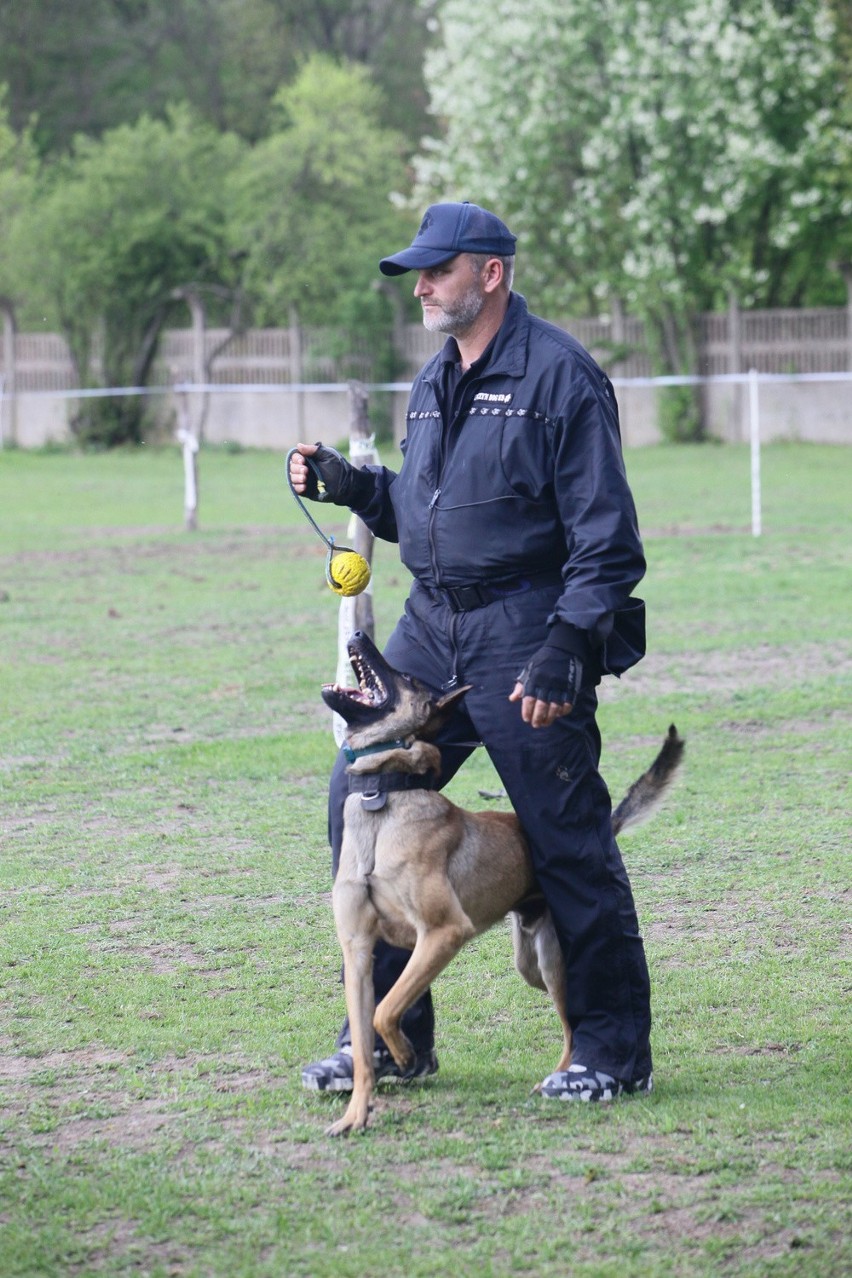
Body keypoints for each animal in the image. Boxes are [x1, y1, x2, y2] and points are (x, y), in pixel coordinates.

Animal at [316, 628, 684, 1139]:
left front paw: (405, 1054)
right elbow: (368, 1028)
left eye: (406, 677)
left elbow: (386, 1009)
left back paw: (571, 1078)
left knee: (573, 1025)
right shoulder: (358, 951)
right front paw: (357, 1112)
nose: (356, 632)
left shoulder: (443, 934)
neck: (382, 797)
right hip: (528, 964)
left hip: (553, 963)